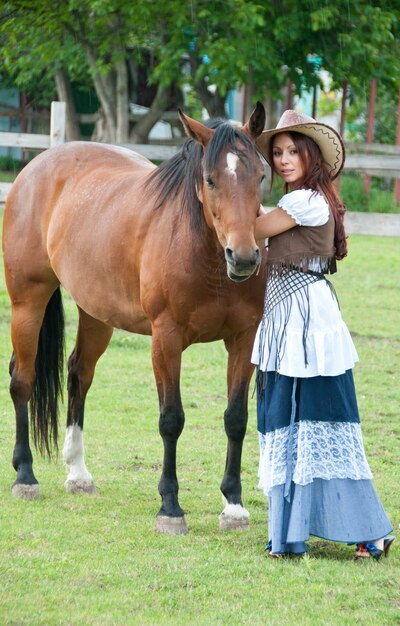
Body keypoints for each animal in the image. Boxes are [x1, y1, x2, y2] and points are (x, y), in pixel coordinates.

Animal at [2, 102, 268, 532]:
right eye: (210, 180)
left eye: (260, 176)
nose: (243, 257)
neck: (203, 255)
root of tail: (36, 166)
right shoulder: (167, 340)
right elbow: (171, 419)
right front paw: (170, 507)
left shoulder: (243, 339)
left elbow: (236, 418)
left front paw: (233, 505)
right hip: (28, 301)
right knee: (21, 380)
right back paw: (25, 475)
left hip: (97, 314)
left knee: (78, 374)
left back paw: (78, 473)